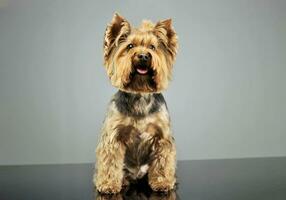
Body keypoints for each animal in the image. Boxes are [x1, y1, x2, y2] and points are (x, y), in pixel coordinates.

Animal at [94, 12, 178, 194]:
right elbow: (110, 161)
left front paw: (162, 181)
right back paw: (123, 181)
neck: (140, 94)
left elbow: (162, 160)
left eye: (152, 47)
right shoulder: (113, 137)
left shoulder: (162, 137)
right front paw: (108, 184)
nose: (144, 56)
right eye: (130, 46)